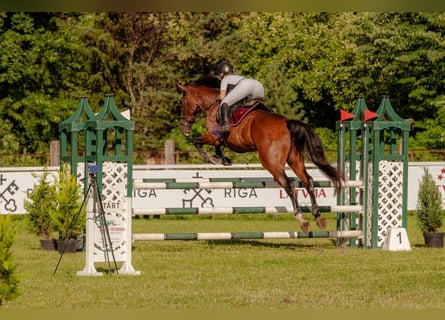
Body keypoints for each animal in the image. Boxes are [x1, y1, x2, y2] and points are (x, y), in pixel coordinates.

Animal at [175, 77, 342, 232]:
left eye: (182, 102)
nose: (183, 127)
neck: (213, 105)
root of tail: (287, 123)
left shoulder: (213, 136)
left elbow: (198, 142)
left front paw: (212, 159)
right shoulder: (218, 139)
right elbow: (216, 147)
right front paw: (223, 159)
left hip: (270, 162)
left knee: (289, 184)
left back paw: (302, 219)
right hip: (295, 160)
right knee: (308, 181)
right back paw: (318, 216)